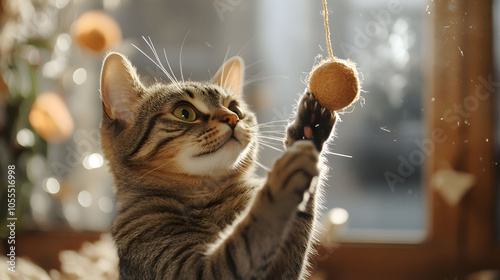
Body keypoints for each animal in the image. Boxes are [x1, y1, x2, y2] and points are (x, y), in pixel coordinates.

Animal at [98, 50, 336, 280]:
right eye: (184, 112)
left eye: (236, 108)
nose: (232, 118)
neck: (208, 195)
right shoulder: (189, 269)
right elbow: (252, 234)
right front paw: (281, 181)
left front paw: (309, 130)